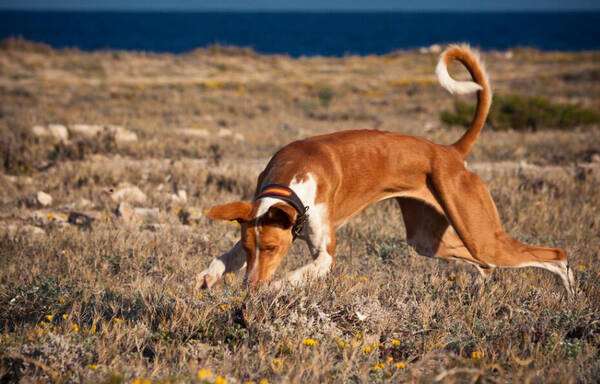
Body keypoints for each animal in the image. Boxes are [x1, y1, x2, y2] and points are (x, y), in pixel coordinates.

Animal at [198, 44, 576, 294]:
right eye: (249, 249)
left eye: (272, 250)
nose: (250, 287)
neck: (292, 178)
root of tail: (450, 151)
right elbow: (223, 258)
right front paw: (208, 275)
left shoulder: (324, 257)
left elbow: (295, 275)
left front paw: (274, 288)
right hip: (428, 240)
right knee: (483, 264)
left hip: (481, 235)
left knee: (554, 255)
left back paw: (571, 297)